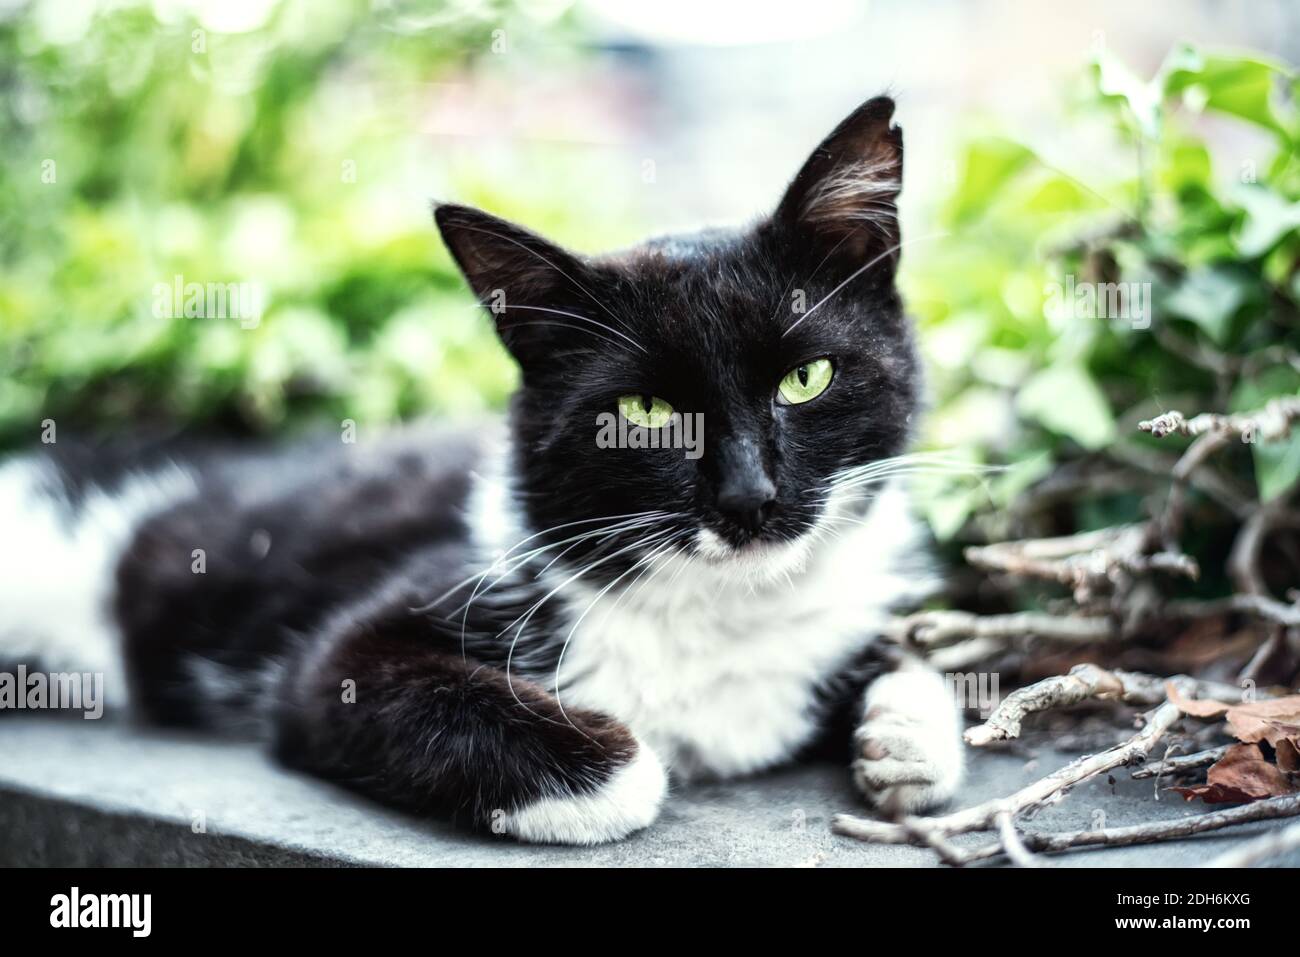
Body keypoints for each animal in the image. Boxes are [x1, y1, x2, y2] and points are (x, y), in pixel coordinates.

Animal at [2, 95, 967, 842]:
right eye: (645, 413)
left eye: (806, 379)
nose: (748, 497)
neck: (725, 608)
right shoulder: (340, 655)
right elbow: (374, 681)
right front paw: (620, 763)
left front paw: (904, 730)